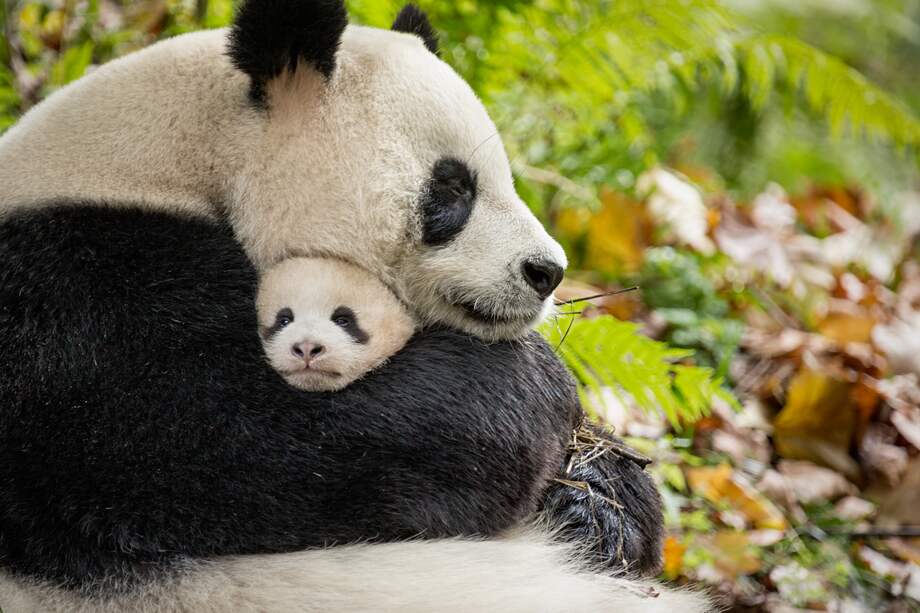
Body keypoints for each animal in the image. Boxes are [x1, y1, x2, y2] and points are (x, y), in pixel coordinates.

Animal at [0, 1, 710, 611]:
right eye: (452, 187)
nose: (547, 271)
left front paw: (598, 505)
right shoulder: (78, 304)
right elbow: (240, 441)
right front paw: (535, 388)